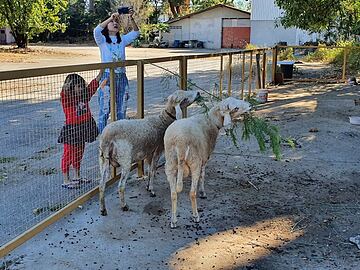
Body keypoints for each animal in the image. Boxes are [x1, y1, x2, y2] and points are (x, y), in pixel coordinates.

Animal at [163, 97, 250, 228]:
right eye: (236, 108)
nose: (250, 105)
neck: (211, 121)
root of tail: (180, 142)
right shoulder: (204, 158)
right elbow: (203, 176)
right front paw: (202, 192)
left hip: (170, 164)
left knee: (173, 194)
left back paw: (173, 220)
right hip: (195, 162)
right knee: (191, 193)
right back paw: (196, 216)